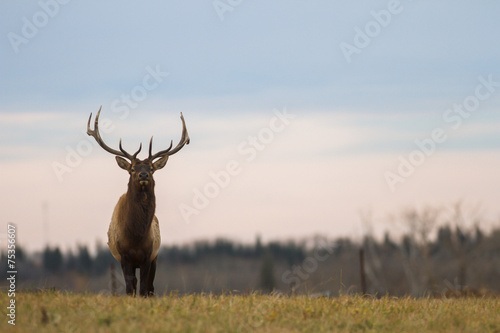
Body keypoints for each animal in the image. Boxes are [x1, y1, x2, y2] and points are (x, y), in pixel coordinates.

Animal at [86, 106, 189, 296]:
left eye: (151, 168)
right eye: (132, 169)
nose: (143, 175)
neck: (135, 236)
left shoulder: (149, 255)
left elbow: (143, 288)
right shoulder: (124, 256)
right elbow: (129, 287)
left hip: (155, 257)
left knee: (150, 287)